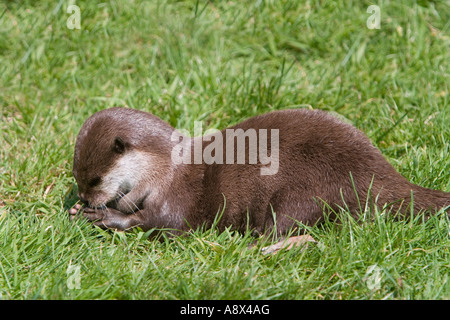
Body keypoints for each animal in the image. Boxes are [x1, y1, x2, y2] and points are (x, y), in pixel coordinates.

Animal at [70, 107, 450, 235]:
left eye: (95, 179)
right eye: (78, 180)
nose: (86, 197)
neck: (165, 170)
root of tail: (376, 171)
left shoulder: (178, 195)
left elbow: (164, 223)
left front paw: (105, 216)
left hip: (306, 192)